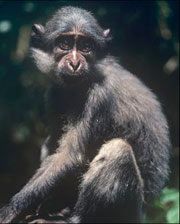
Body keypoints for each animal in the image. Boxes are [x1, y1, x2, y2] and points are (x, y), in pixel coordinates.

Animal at [0, 6, 170, 223]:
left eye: (85, 47)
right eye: (64, 44)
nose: (74, 63)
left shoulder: (101, 96)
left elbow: (70, 156)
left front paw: (11, 210)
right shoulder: (53, 92)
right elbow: (54, 145)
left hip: (128, 212)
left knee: (117, 149)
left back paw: (73, 218)